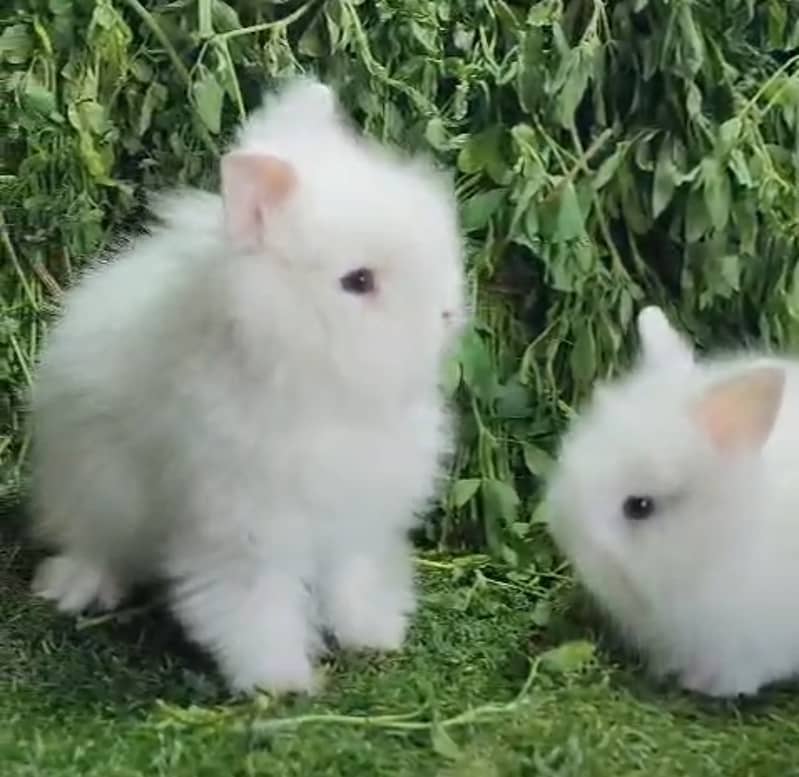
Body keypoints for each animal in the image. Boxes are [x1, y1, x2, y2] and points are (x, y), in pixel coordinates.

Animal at [28, 76, 466, 694]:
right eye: (358, 281)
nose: (449, 315)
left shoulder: (355, 520)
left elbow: (353, 580)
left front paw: (375, 636)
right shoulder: (245, 531)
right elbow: (256, 606)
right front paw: (279, 681)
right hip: (95, 490)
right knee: (93, 544)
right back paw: (79, 587)